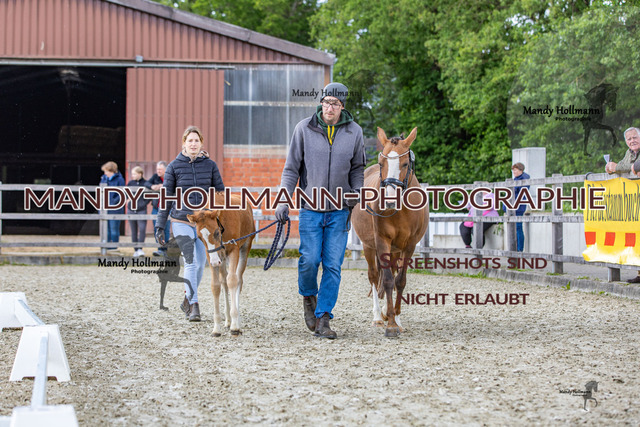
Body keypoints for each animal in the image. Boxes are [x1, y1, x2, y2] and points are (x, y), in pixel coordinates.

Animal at [187, 192, 255, 337]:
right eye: (199, 237)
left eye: (216, 232)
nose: (214, 262)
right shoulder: (211, 255)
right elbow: (216, 286)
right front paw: (216, 328)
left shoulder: (234, 250)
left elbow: (233, 281)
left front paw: (235, 326)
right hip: (222, 258)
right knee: (224, 281)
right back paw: (228, 320)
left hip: (244, 248)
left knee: (238, 280)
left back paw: (235, 321)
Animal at [352, 127, 429, 337]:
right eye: (381, 163)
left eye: (405, 163)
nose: (389, 200)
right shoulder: (382, 242)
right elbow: (386, 280)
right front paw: (391, 325)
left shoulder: (409, 246)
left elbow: (399, 281)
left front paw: (397, 319)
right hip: (369, 246)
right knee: (373, 275)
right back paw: (379, 317)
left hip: (395, 250)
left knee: (393, 274)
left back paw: (388, 312)